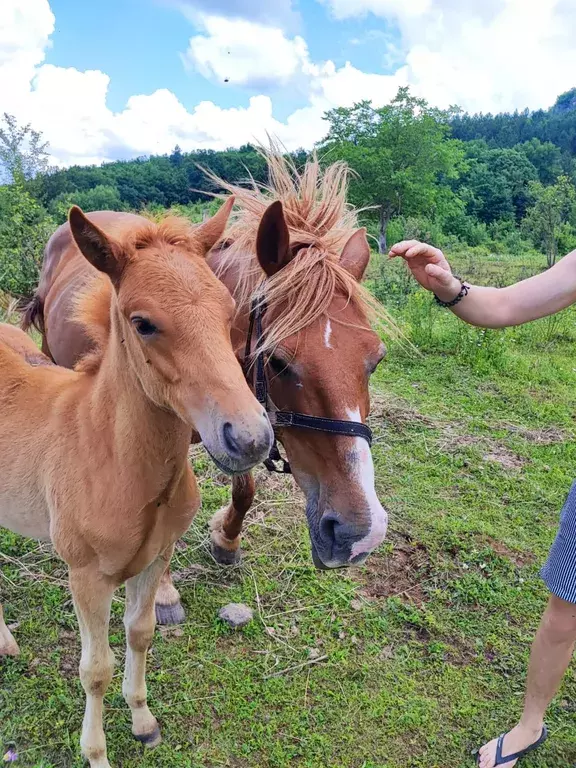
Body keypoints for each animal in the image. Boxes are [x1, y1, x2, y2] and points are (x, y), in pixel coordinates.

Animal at [0, 206, 272, 768]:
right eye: (143, 323)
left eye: (228, 310)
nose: (251, 437)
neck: (112, 455)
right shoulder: (85, 576)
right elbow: (94, 669)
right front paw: (97, 754)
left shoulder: (154, 557)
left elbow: (141, 633)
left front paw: (144, 722)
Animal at [23, 150, 396, 632]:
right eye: (277, 360)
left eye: (376, 359)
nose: (358, 533)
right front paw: (163, 593)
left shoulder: (243, 424)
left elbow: (245, 489)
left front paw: (226, 540)